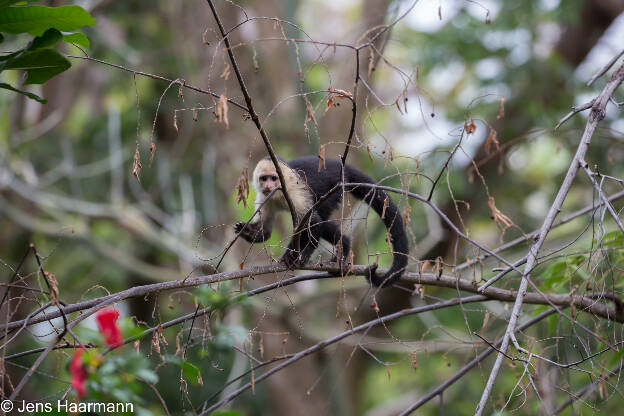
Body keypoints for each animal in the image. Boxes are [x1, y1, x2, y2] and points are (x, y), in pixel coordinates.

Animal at [235, 154, 410, 288]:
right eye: (264, 179)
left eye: (273, 178)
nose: (268, 186)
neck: (279, 193)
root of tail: (341, 166)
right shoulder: (265, 198)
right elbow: (264, 231)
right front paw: (246, 230)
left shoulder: (295, 194)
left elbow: (313, 222)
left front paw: (302, 253)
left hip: (334, 189)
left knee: (319, 220)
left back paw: (342, 247)